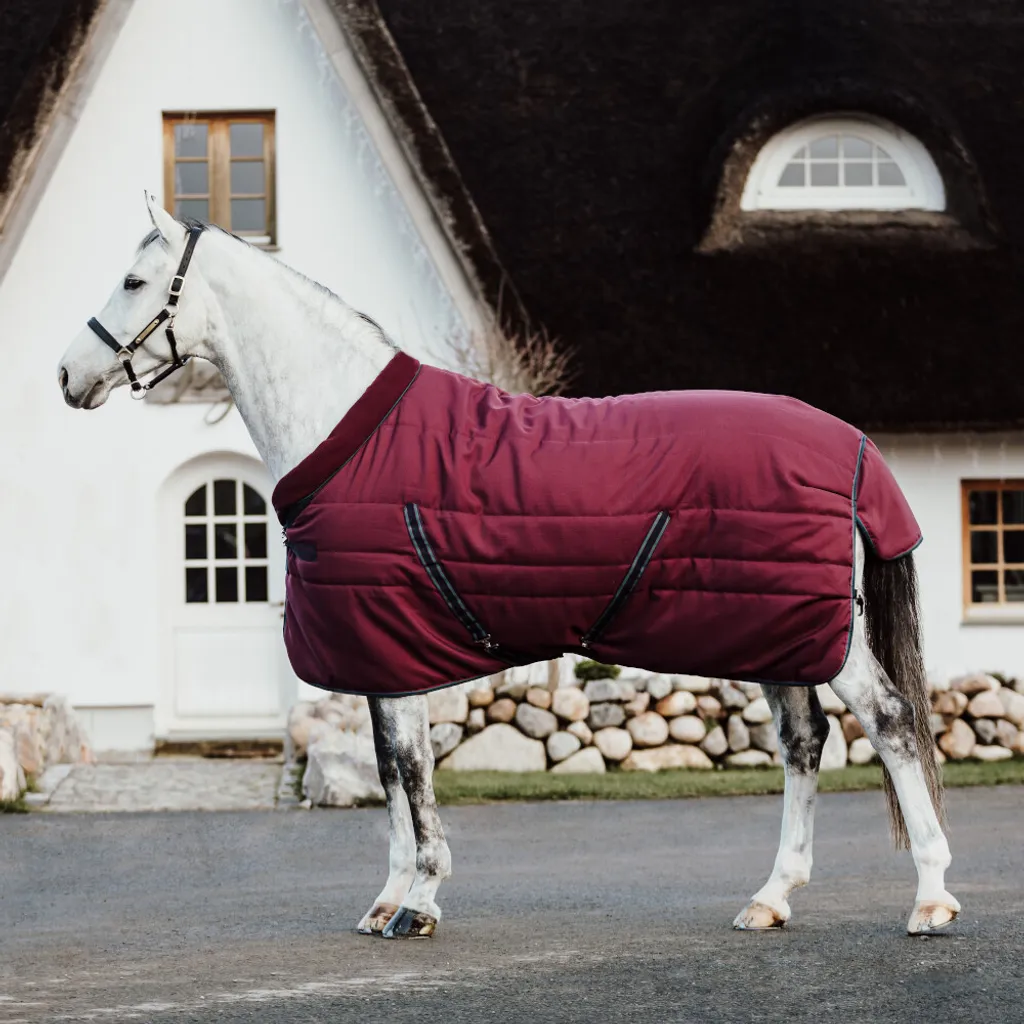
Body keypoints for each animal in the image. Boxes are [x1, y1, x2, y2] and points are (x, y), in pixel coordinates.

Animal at [57, 194, 959, 940]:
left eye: (134, 280)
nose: (69, 375)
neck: (352, 430)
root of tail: (851, 443)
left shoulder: (390, 651)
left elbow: (409, 775)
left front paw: (417, 904)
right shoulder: (386, 660)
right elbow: (393, 774)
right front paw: (390, 898)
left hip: (828, 641)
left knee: (890, 724)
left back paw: (931, 899)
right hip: (780, 635)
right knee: (804, 744)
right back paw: (771, 899)